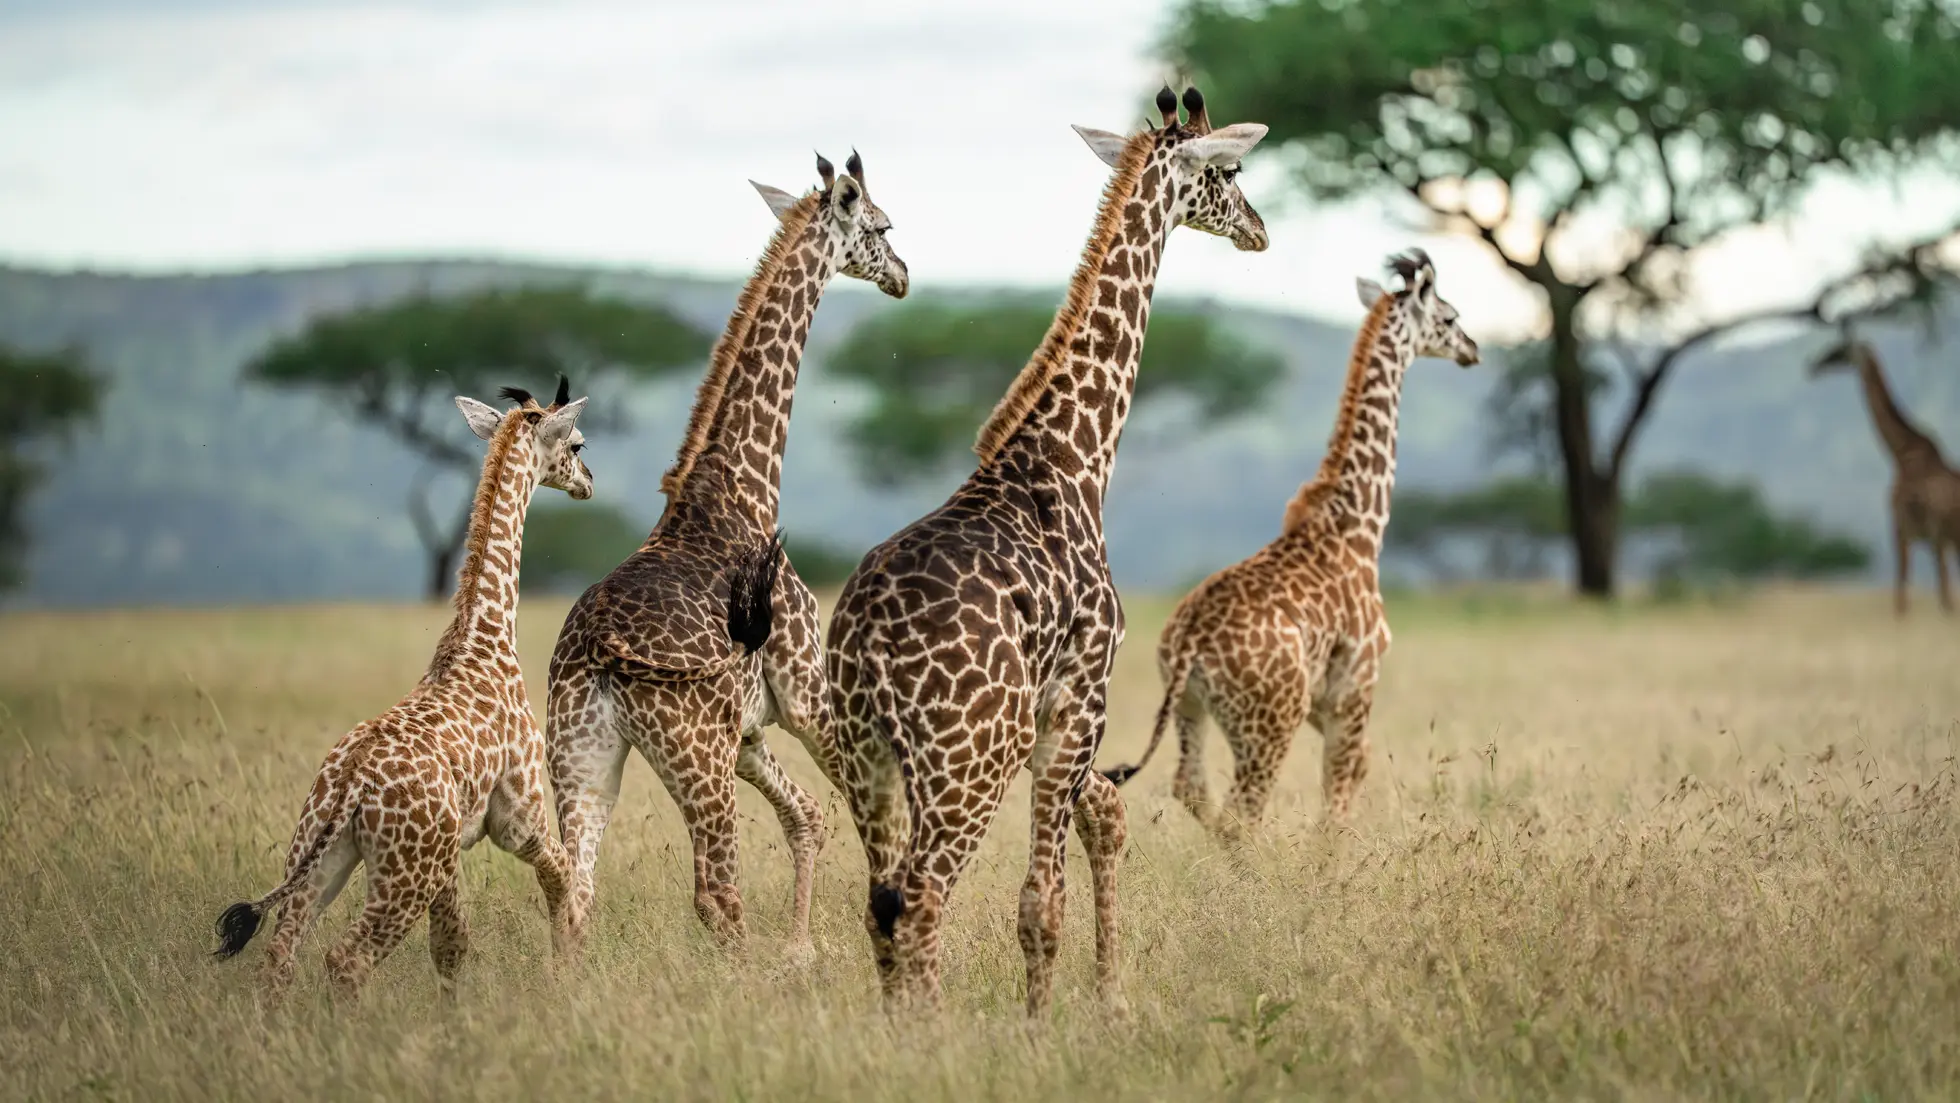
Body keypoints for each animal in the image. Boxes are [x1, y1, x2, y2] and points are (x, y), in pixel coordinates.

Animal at [213, 379, 600, 1004]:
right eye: (576, 443)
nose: (589, 481)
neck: (485, 638)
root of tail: (349, 786)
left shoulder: (451, 852)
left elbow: (452, 944)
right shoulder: (519, 816)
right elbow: (561, 883)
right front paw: (567, 975)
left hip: (325, 855)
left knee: (282, 952)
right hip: (403, 871)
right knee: (345, 958)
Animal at [546, 151, 908, 950]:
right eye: (880, 225)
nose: (903, 273)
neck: (741, 487)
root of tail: (601, 651)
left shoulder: (746, 731)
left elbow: (806, 818)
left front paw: (801, 949)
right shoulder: (808, 693)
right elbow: (868, 817)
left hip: (582, 758)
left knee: (574, 895)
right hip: (694, 756)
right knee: (717, 893)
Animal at [823, 86, 1270, 1016]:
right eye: (1229, 171)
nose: (1258, 228)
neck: (1071, 456)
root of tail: (871, 645)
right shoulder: (1078, 700)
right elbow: (1041, 902)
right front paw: (1047, 1022)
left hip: (864, 754)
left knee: (880, 903)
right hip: (968, 758)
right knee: (921, 898)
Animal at [1099, 251, 1479, 835]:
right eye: (1450, 316)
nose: (1472, 350)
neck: (1358, 526)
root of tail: (1188, 646)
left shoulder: (1325, 701)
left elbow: (1355, 772)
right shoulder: (1355, 688)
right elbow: (1341, 788)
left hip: (1191, 708)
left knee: (1192, 787)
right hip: (1268, 724)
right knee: (1243, 809)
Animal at [1811, 334, 1960, 615]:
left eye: (1841, 350)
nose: (1813, 366)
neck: (1900, 454)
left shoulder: (1905, 530)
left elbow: (1904, 600)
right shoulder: (1913, 536)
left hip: (1944, 539)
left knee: (1944, 598)